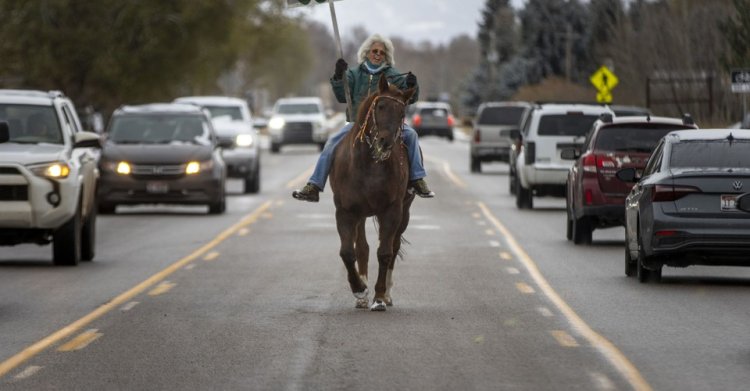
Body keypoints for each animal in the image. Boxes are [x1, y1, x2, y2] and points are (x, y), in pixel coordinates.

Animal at [332, 73, 420, 312]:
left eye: (402, 113)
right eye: (380, 106)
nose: (385, 142)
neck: (369, 165)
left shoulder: (392, 210)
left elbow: (385, 253)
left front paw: (379, 297)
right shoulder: (345, 211)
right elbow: (347, 252)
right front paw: (359, 289)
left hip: (405, 211)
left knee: (393, 246)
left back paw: (387, 295)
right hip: (360, 215)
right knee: (362, 247)